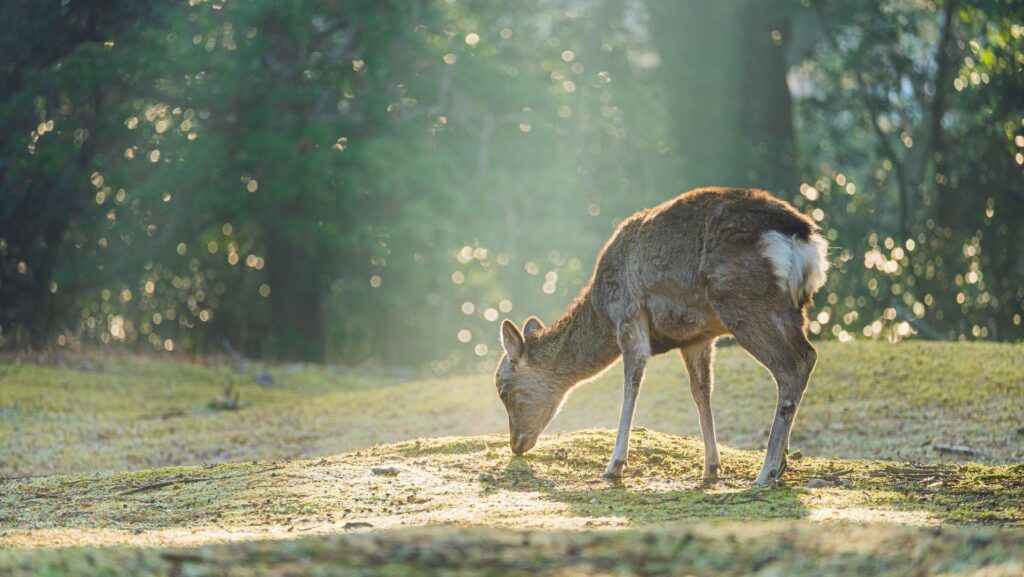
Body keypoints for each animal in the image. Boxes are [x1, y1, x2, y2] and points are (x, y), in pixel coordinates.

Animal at [494, 187, 829, 486]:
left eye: (504, 391)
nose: (516, 444)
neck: (602, 314)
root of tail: (805, 238)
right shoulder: (698, 338)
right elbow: (701, 392)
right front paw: (711, 468)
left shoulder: (629, 316)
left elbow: (631, 386)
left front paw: (614, 466)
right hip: (795, 309)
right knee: (807, 355)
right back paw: (781, 463)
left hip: (744, 299)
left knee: (794, 364)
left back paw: (767, 471)